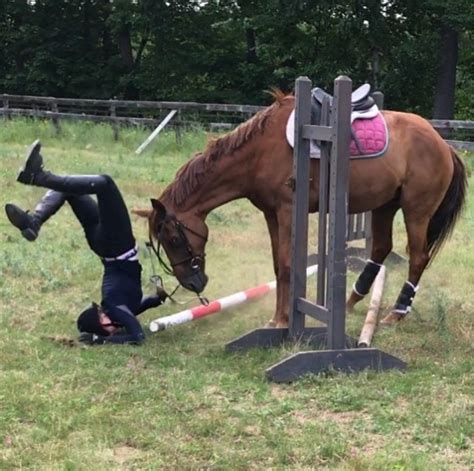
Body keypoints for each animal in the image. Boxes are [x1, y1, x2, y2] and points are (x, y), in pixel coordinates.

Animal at [141, 91, 466, 328]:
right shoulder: (271, 214)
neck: (259, 152)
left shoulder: (287, 211)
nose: (192, 283)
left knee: (418, 258)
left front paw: (284, 320)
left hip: (416, 212)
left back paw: (397, 313)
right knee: (380, 249)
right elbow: (278, 266)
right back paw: (350, 301)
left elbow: (287, 265)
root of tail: (443, 144)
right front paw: (277, 318)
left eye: (173, 239)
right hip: (385, 206)